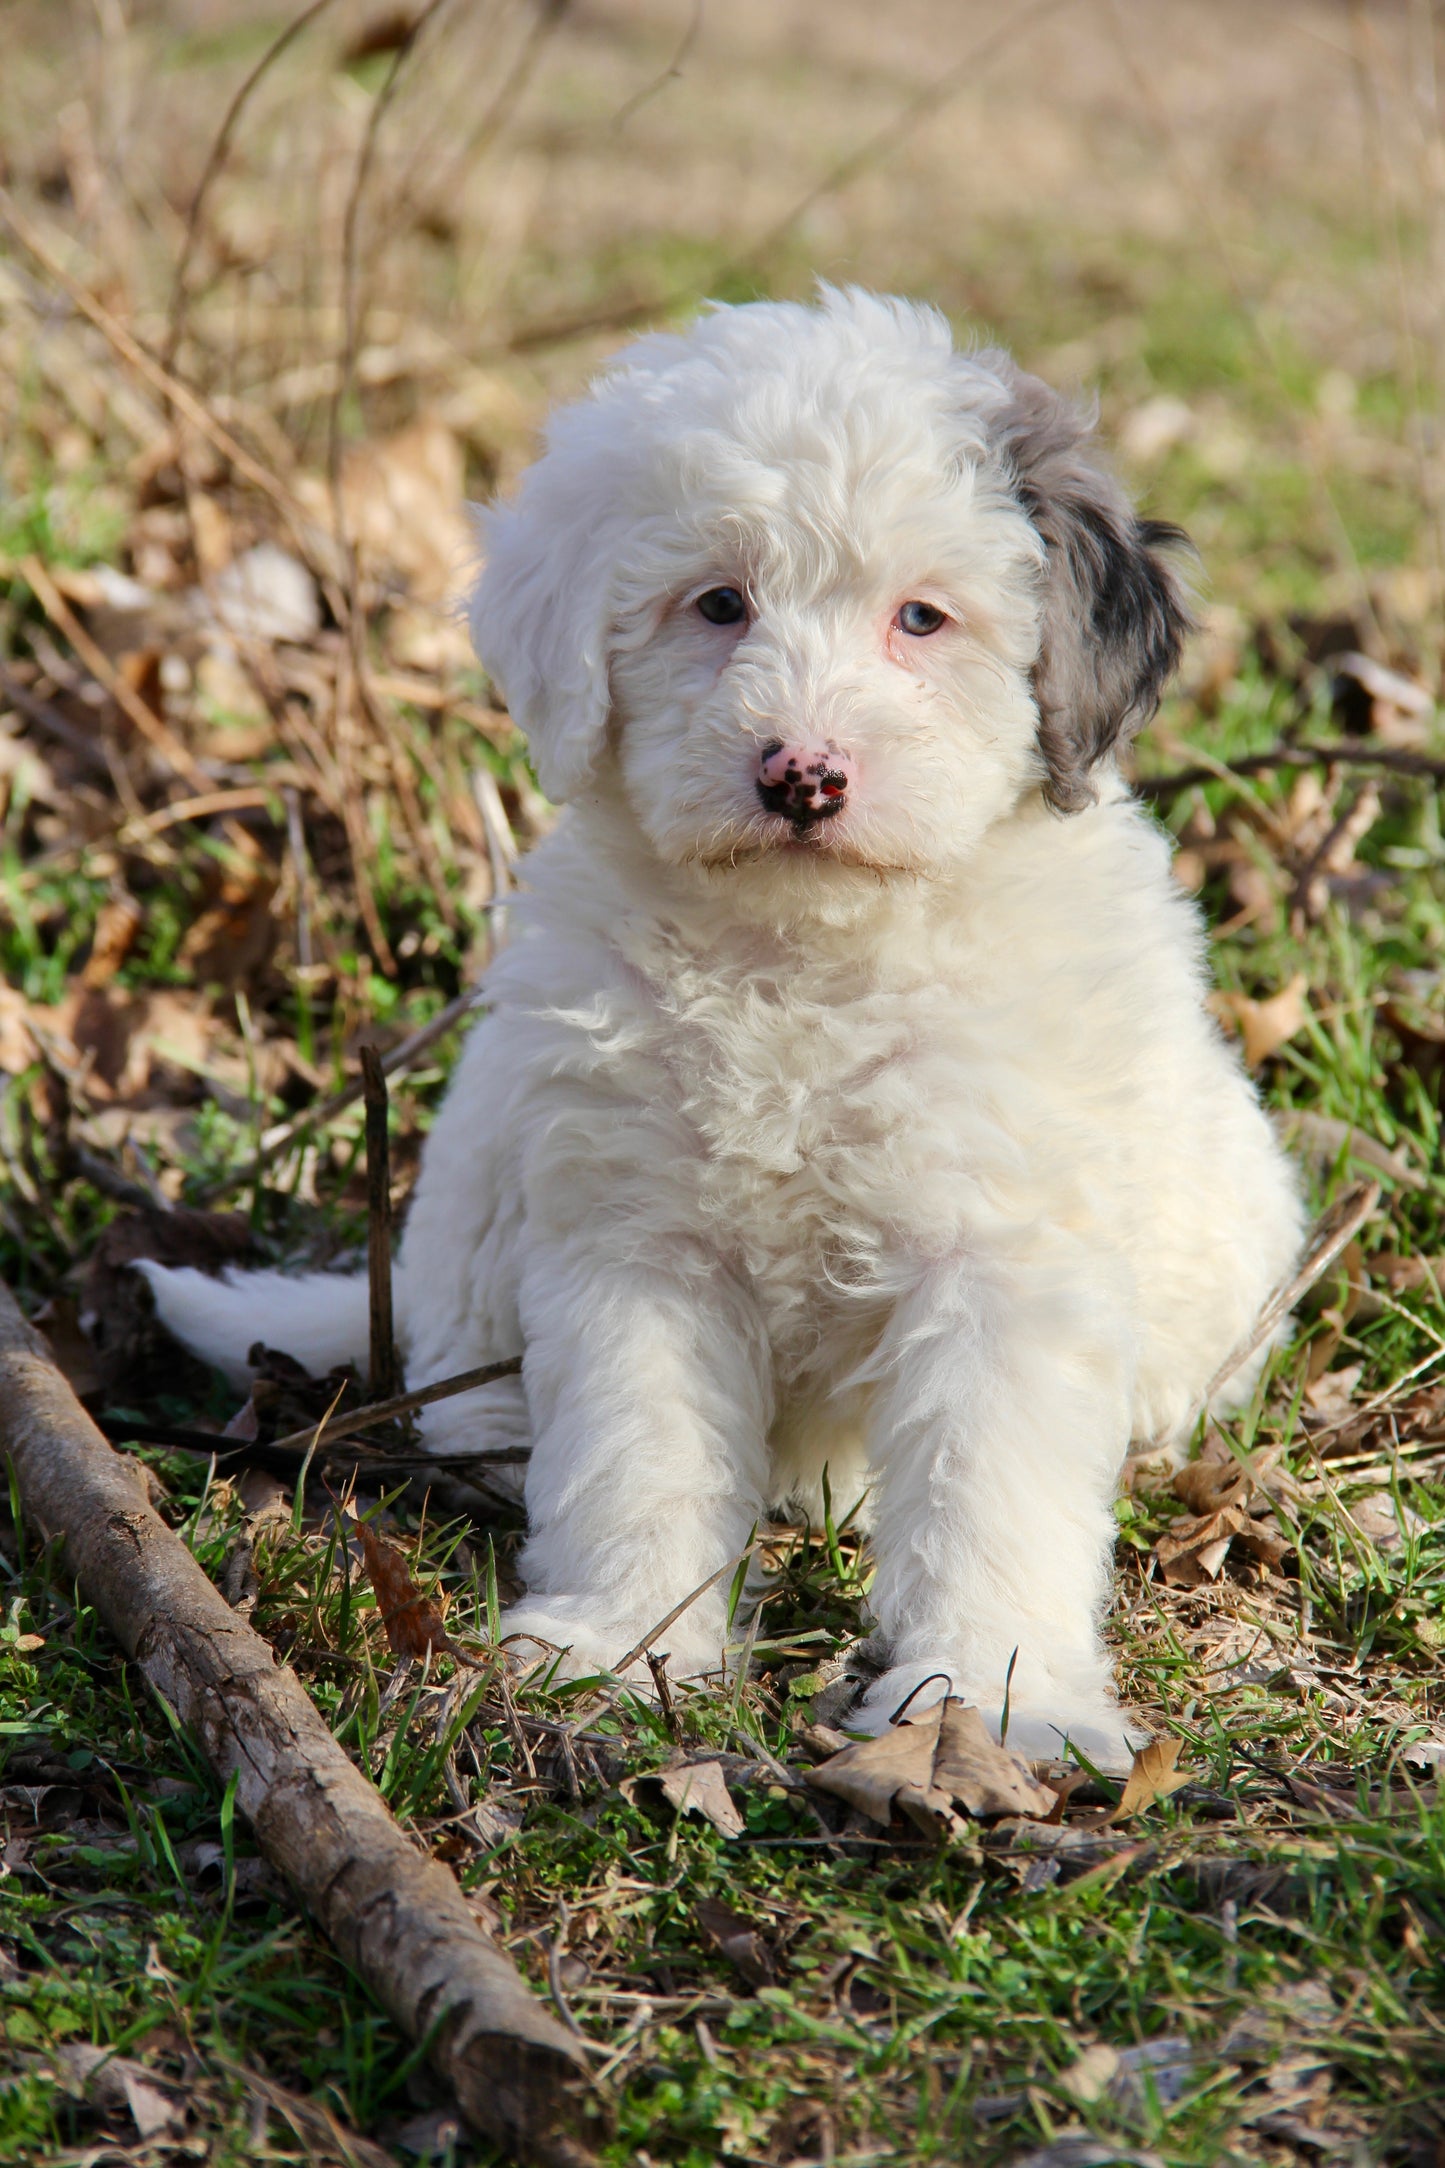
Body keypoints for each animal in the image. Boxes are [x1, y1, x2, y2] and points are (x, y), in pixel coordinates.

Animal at [149, 288, 1308, 1769]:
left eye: (922, 618)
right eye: (717, 603)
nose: (802, 774)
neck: (802, 956)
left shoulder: (1002, 1252)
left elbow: (990, 1484)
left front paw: (1001, 1699)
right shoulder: (637, 1236)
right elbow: (637, 1448)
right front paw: (619, 1643)